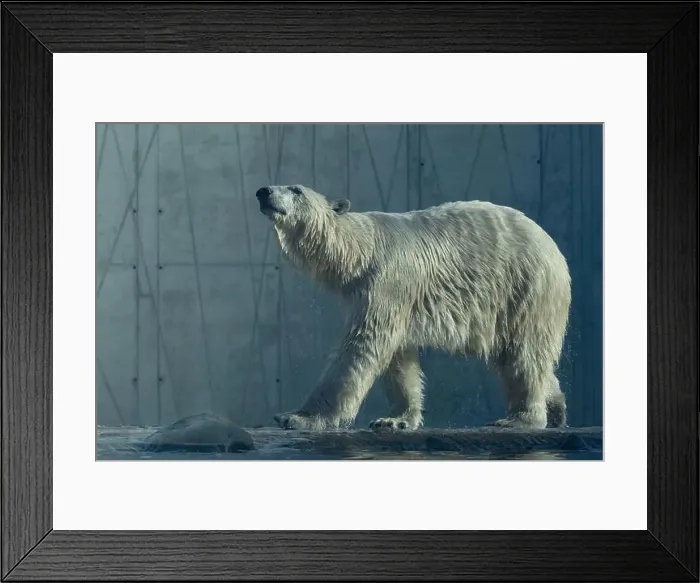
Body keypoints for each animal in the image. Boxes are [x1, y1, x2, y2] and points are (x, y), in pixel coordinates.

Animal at [255, 184, 571, 432]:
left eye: (296, 189)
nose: (263, 191)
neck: (362, 250)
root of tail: (553, 246)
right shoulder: (376, 292)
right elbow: (398, 357)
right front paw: (394, 420)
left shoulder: (389, 279)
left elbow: (363, 344)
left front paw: (298, 417)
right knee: (518, 355)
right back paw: (556, 408)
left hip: (525, 286)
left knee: (524, 352)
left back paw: (521, 419)